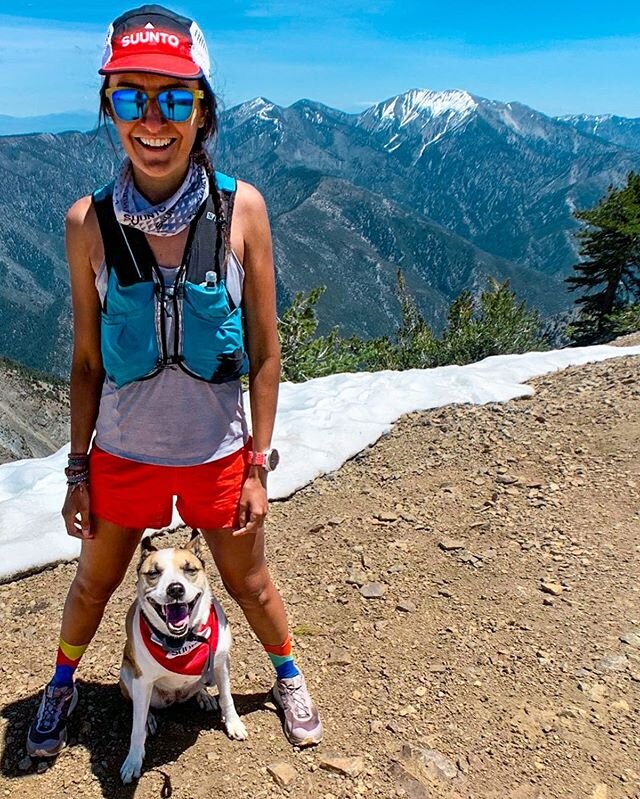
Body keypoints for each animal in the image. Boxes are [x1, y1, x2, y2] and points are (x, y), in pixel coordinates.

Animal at [119, 528, 246, 784]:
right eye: (154, 573)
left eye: (189, 569)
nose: (175, 589)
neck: (181, 641)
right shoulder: (142, 680)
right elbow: (136, 727)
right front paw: (133, 760)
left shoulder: (221, 665)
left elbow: (227, 698)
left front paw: (233, 724)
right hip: (127, 675)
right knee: (140, 706)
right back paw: (150, 718)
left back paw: (204, 696)